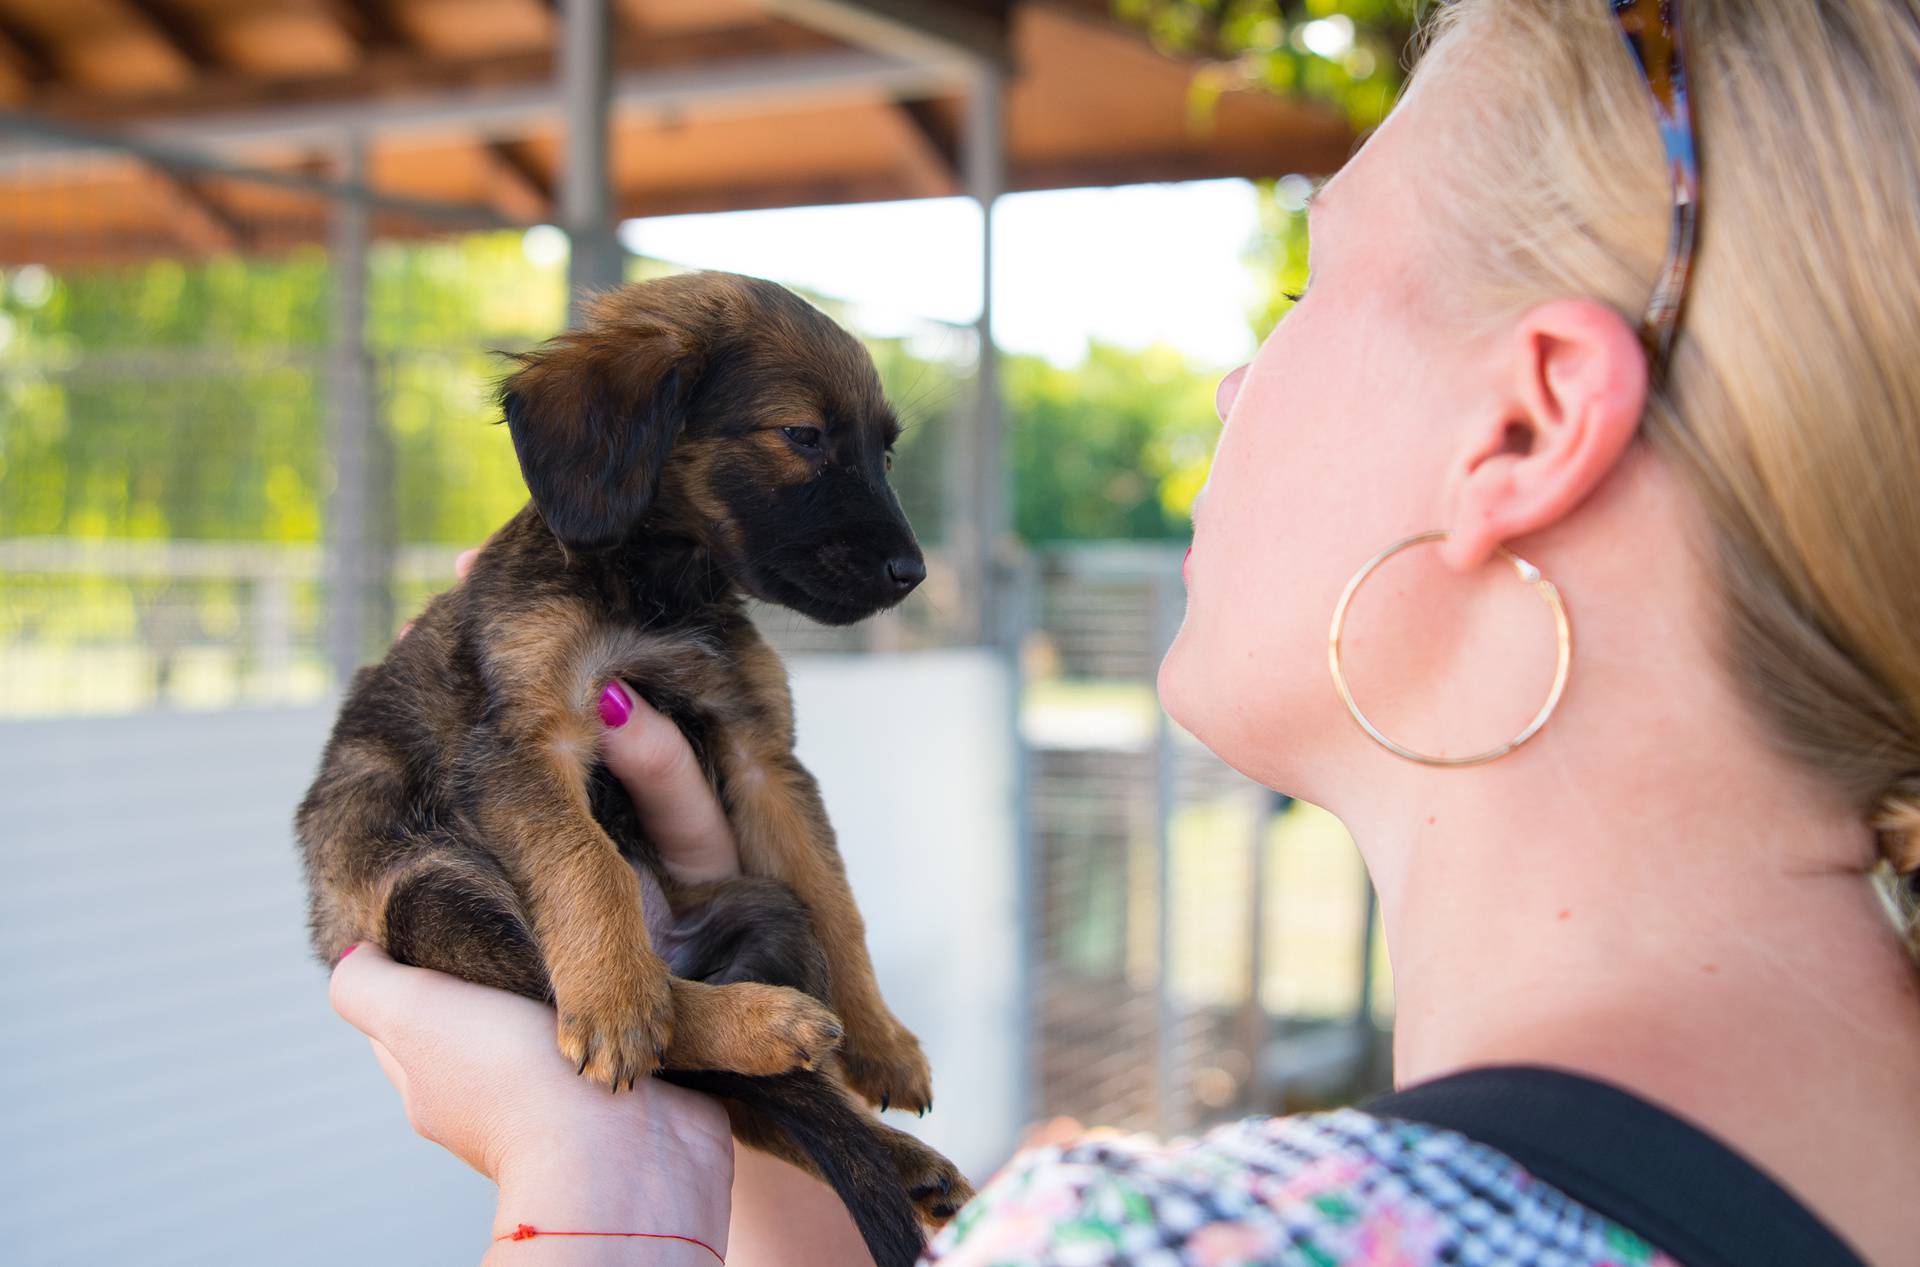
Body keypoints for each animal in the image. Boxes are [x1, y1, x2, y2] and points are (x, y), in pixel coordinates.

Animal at [299, 272, 975, 1259]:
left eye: (883, 452)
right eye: (803, 435)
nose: (912, 571)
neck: (658, 592)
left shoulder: (762, 756)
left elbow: (835, 898)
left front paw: (882, 1037)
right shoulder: (523, 741)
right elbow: (589, 861)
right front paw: (617, 996)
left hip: (765, 919)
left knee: (768, 1096)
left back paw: (892, 1148)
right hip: (438, 895)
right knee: (651, 1024)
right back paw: (750, 1018)